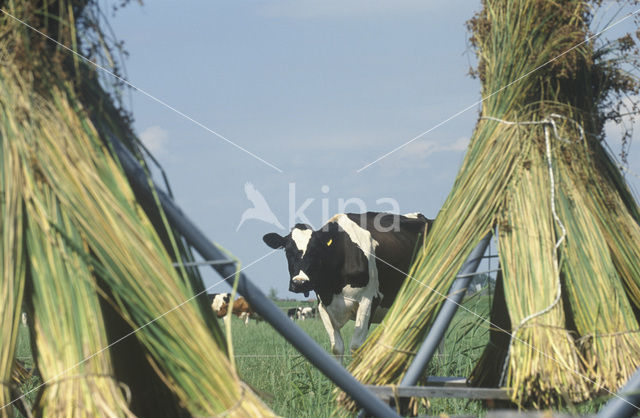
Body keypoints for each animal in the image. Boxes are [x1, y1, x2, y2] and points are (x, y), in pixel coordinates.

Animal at [262, 212, 432, 356]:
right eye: (287, 251)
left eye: (315, 251)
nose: (300, 283)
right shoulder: (323, 305)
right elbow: (337, 347)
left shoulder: (369, 300)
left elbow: (356, 347)